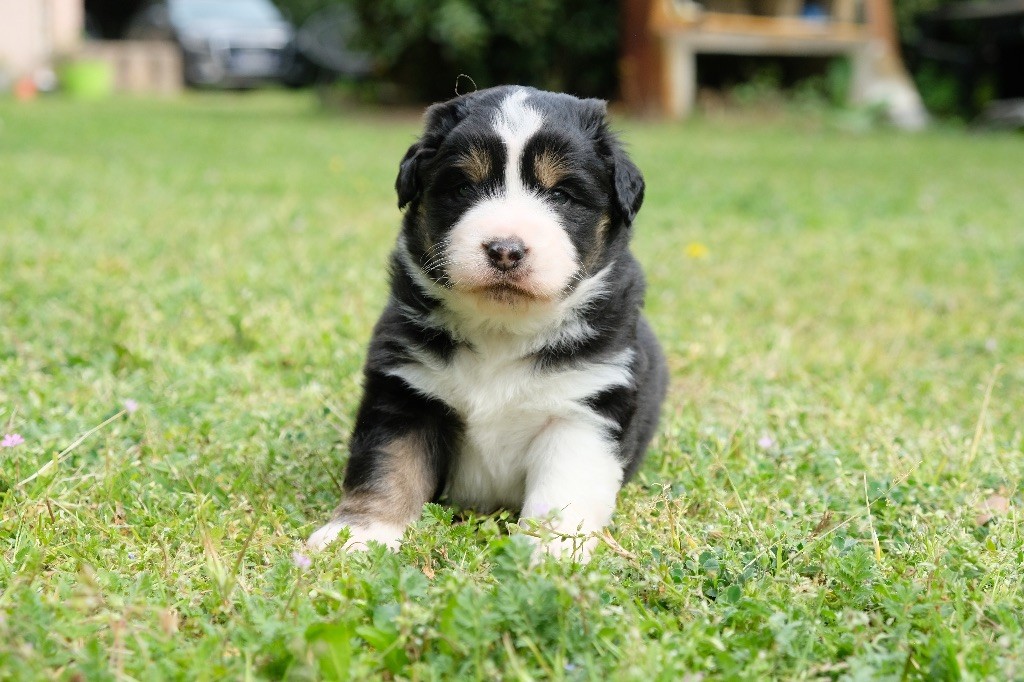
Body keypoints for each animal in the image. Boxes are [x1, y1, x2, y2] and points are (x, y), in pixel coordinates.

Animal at [308, 85, 667, 561]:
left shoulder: (585, 409)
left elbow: (561, 495)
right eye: (463, 187)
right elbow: (388, 468)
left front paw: (549, 554)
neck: (502, 330)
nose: (505, 250)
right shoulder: (406, 394)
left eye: (562, 195)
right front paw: (358, 535)